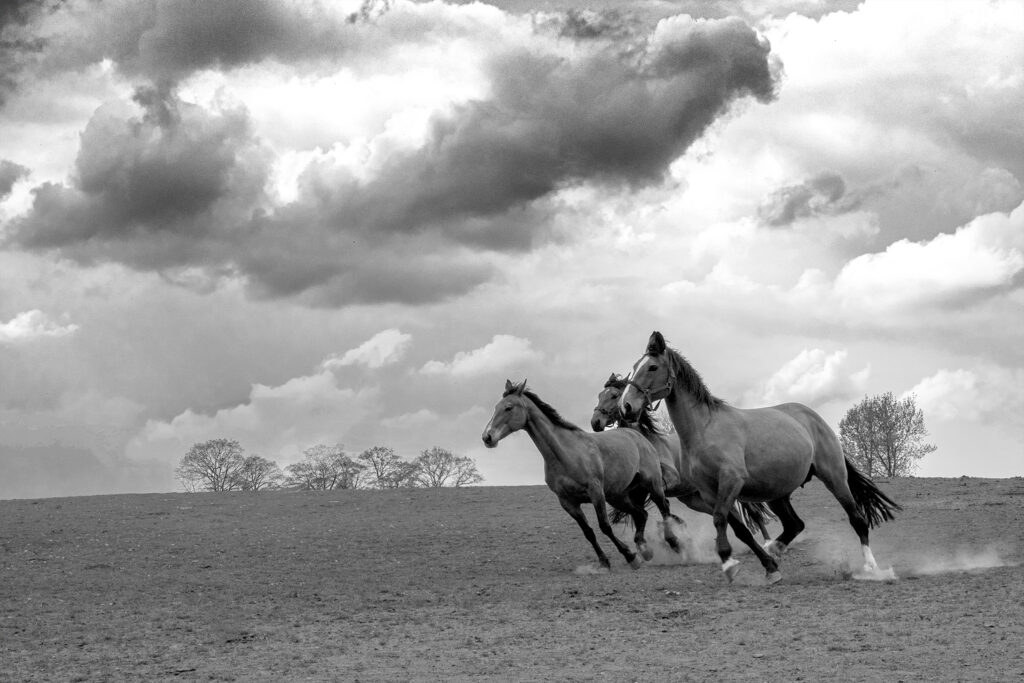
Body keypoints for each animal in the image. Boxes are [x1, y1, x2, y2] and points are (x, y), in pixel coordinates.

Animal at [482, 379, 682, 569]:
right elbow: (588, 532)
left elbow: (605, 527)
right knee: (641, 514)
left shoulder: (596, 493)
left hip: (652, 485)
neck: (566, 453)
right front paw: (604, 562)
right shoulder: (567, 502)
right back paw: (645, 550)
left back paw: (674, 544)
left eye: (508, 407)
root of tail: (639, 436)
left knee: (664, 508)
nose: (487, 437)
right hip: (619, 496)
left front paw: (630, 557)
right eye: (496, 407)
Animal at [591, 372, 776, 542]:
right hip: (693, 498)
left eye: (614, 395)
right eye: (599, 396)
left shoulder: (671, 479)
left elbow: (660, 500)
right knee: (726, 513)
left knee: (752, 511)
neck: (647, 443)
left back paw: (768, 541)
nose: (595, 422)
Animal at [619, 332, 901, 584]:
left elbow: (720, 519)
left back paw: (871, 569)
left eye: (652, 367)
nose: (626, 406)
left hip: (834, 478)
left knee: (857, 520)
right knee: (795, 524)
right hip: (777, 494)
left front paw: (729, 564)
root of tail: (813, 418)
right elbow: (739, 529)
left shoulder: (730, 482)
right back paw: (774, 549)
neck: (704, 430)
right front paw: (769, 568)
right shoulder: (709, 492)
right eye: (633, 367)